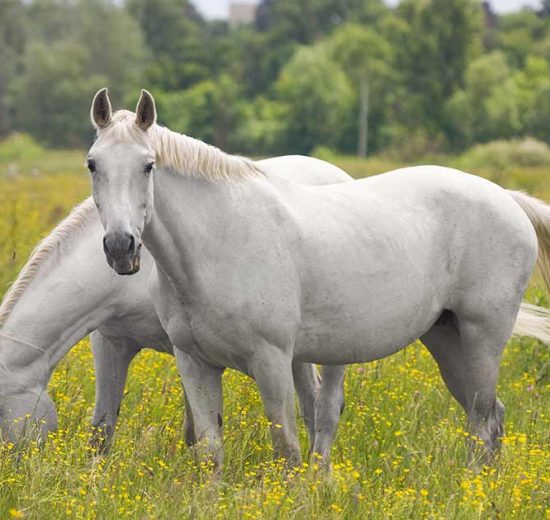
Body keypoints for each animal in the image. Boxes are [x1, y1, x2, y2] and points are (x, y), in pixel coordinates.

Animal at [0, 155, 354, 450]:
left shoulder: (188, 349)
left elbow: (193, 430)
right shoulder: (111, 342)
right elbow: (102, 427)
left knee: (323, 404)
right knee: (310, 401)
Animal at [88, 89, 550, 468]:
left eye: (148, 166)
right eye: (93, 164)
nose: (120, 247)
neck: (219, 241)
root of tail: (507, 198)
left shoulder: (272, 361)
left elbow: (288, 451)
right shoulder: (195, 364)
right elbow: (210, 454)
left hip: (482, 339)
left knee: (485, 421)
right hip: (445, 337)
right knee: (486, 417)